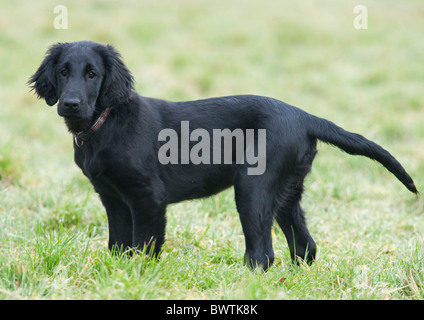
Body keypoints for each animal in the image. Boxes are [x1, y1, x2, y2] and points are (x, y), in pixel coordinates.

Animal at [29, 40, 418, 270]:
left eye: (92, 74)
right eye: (63, 71)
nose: (70, 103)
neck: (104, 124)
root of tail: (305, 117)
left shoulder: (147, 198)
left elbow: (144, 245)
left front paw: (139, 275)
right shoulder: (112, 197)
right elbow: (119, 243)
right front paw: (117, 273)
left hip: (252, 186)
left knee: (263, 253)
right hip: (287, 192)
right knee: (304, 246)